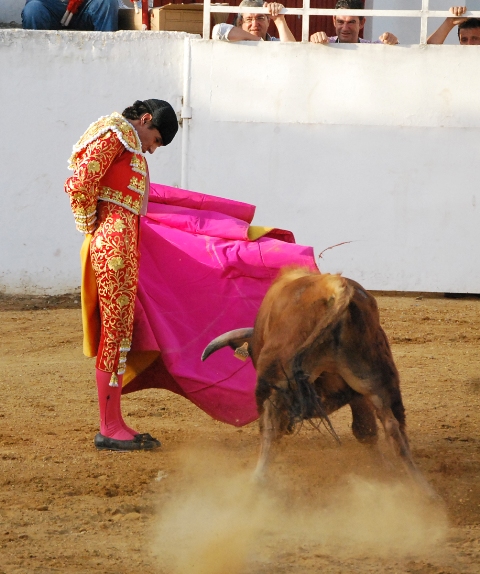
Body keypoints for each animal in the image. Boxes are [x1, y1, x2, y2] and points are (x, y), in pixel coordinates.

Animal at [201, 268, 434, 498]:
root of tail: (334, 288)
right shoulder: (357, 394)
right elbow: (366, 430)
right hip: (376, 374)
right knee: (394, 426)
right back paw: (422, 489)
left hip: (273, 377)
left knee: (269, 430)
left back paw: (257, 482)